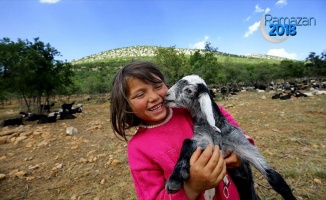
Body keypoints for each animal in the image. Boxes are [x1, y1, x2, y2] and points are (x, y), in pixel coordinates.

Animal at [166, 75, 296, 200]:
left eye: (188, 90)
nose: (166, 95)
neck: (217, 131)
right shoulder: (203, 140)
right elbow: (187, 143)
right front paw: (175, 179)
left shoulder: (242, 145)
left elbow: (274, 177)